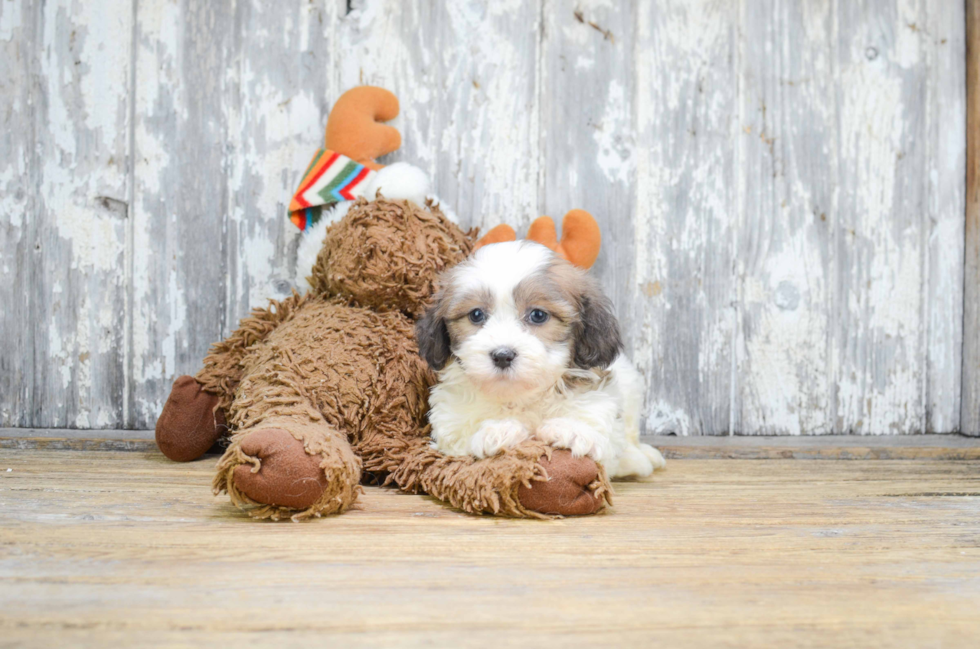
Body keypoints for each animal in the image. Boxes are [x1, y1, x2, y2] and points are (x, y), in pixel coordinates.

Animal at [414, 240, 668, 478]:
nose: (502, 355)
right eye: (476, 315)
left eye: (538, 315)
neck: (523, 396)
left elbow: (602, 442)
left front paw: (571, 430)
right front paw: (497, 430)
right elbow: (459, 439)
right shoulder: (449, 423)